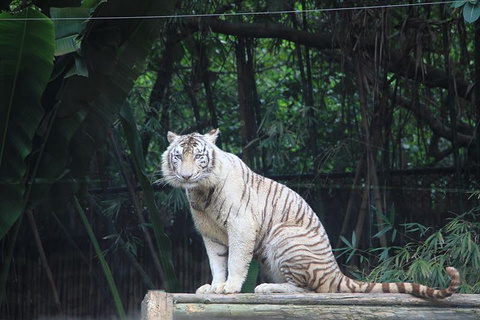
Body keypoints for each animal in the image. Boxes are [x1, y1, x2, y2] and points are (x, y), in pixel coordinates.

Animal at [162, 128, 462, 298]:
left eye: (198, 156)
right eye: (178, 156)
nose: (186, 175)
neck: (200, 192)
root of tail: (335, 271)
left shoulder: (241, 226)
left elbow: (235, 261)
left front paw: (231, 287)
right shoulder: (210, 234)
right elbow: (217, 263)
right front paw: (214, 286)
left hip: (284, 236)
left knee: (307, 288)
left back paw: (266, 288)